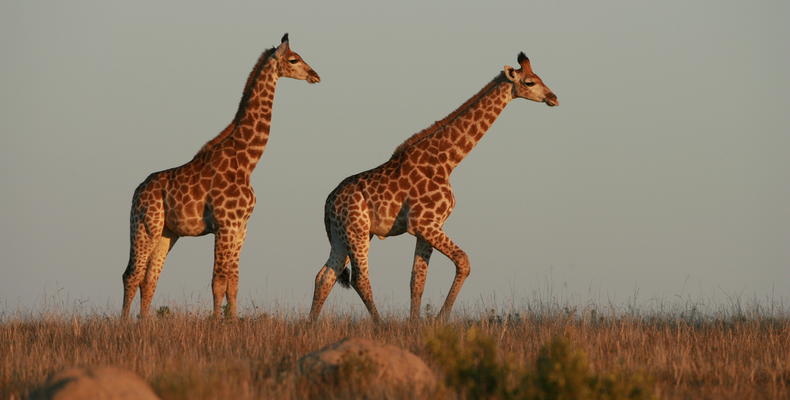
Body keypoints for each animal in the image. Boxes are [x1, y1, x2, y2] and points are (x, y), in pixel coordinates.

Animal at [122, 33, 320, 318]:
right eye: (294, 59)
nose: (316, 75)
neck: (247, 161)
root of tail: (137, 192)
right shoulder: (224, 225)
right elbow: (218, 281)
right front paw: (216, 322)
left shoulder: (241, 227)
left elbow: (233, 282)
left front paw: (232, 321)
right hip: (144, 226)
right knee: (131, 274)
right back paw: (125, 322)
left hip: (166, 233)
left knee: (150, 278)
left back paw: (144, 323)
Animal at [312, 52, 560, 322]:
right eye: (529, 82)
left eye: (540, 78)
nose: (553, 98)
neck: (447, 161)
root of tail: (328, 203)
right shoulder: (423, 223)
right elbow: (463, 261)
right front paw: (441, 317)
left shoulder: (430, 226)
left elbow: (417, 279)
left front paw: (415, 323)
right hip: (356, 230)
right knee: (359, 278)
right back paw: (379, 324)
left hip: (343, 234)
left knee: (325, 275)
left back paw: (312, 324)